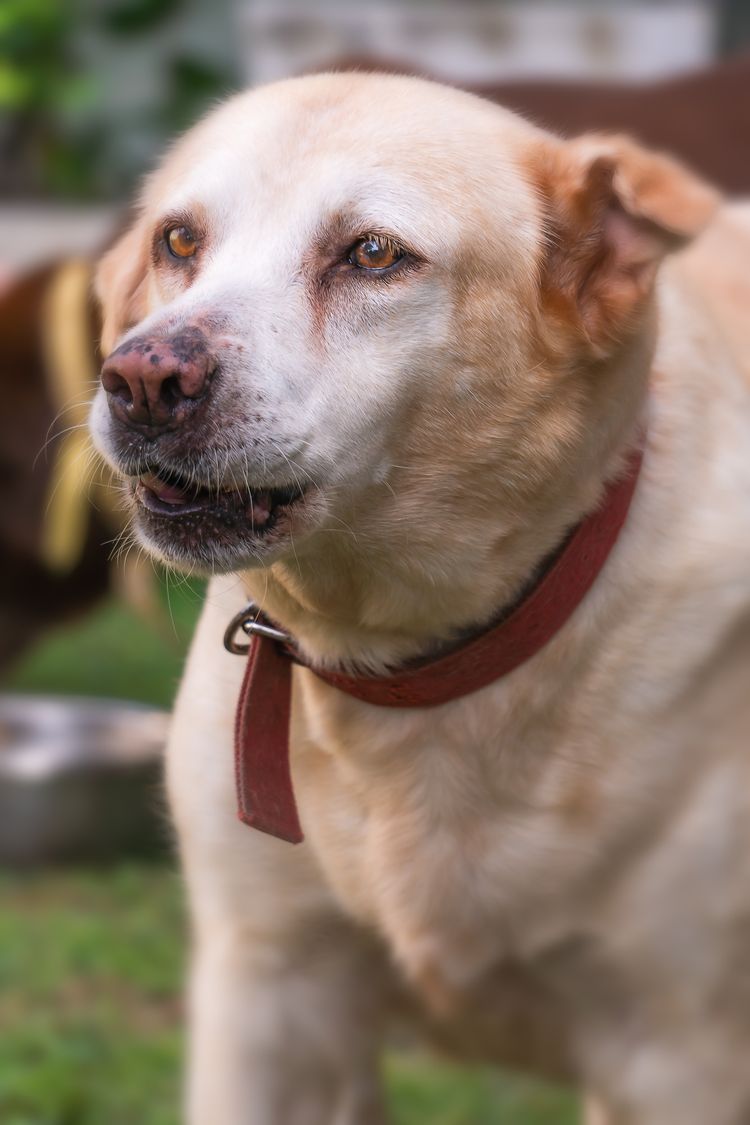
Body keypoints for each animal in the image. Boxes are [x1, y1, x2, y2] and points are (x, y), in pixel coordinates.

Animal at [91, 74, 750, 1120]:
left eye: (373, 254)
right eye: (179, 240)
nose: (142, 379)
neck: (413, 672)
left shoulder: (678, 1051)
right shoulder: (267, 997)